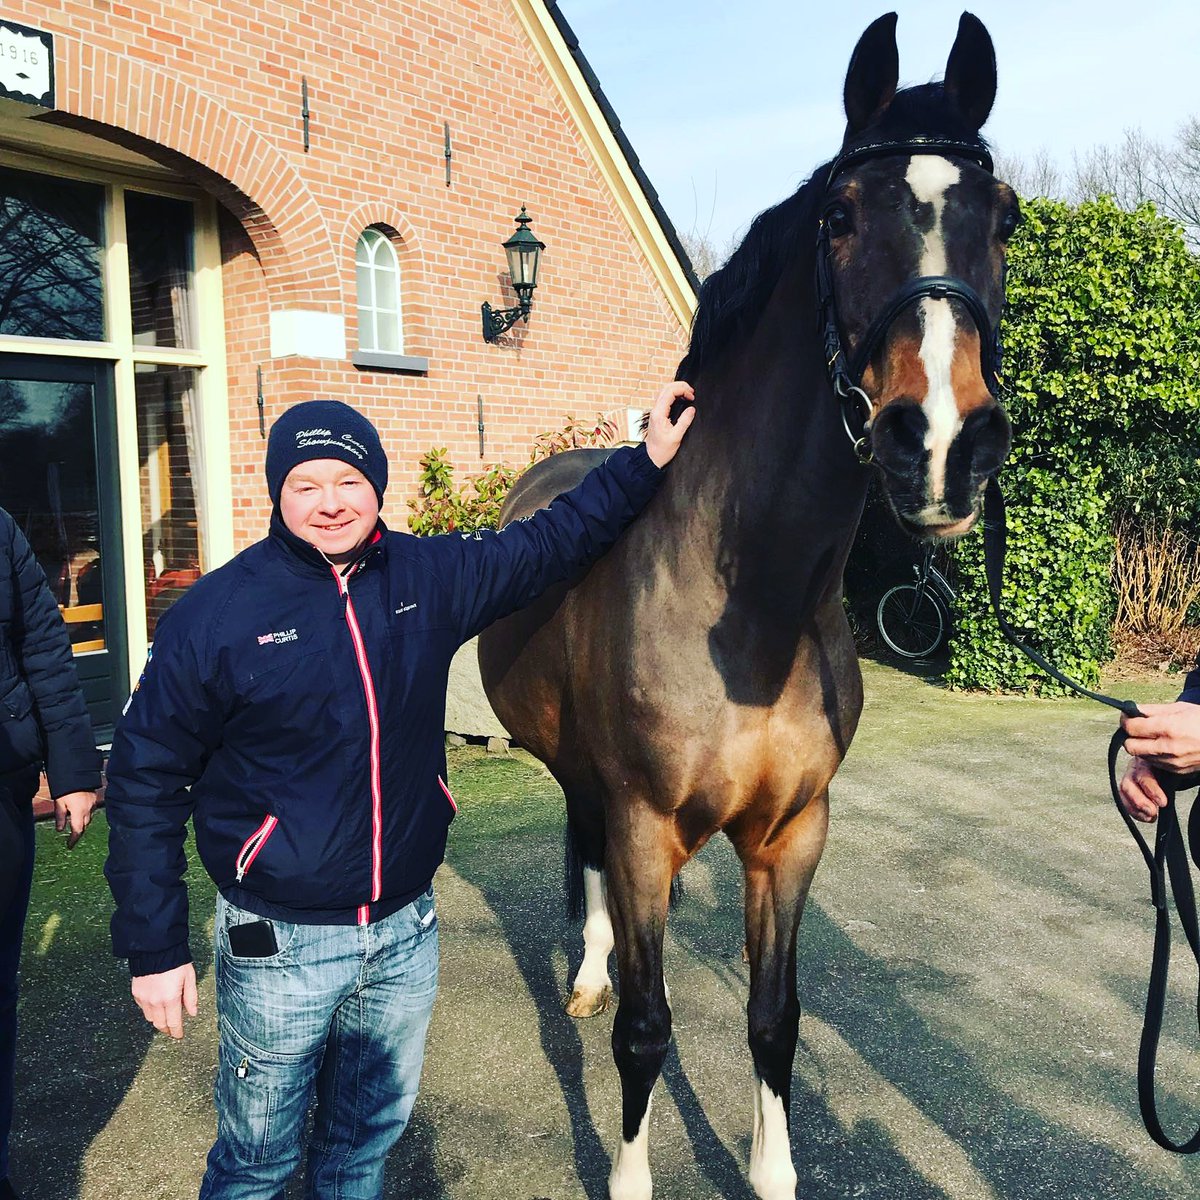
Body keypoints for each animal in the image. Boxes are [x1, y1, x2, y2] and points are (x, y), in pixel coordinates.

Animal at [478, 12, 1017, 1199]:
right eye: (840, 216)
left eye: (1004, 217)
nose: (942, 444)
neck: (750, 610)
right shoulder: (643, 824)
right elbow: (645, 1031)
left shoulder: (791, 835)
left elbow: (775, 1022)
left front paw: (773, 1171)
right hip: (583, 777)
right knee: (587, 853)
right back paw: (590, 972)